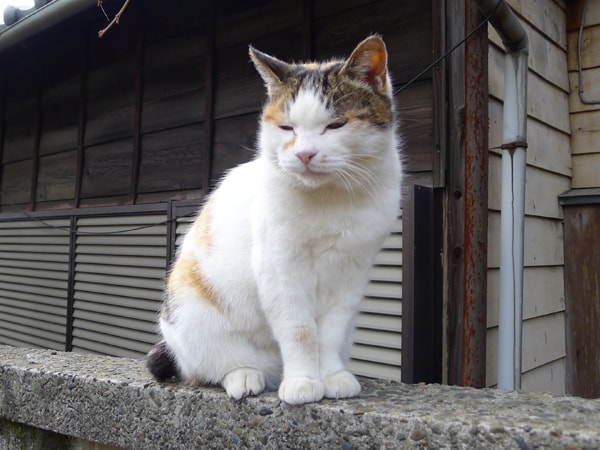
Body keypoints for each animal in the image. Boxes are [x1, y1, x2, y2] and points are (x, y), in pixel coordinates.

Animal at [146, 35, 404, 406]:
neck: (328, 199)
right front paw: (302, 382)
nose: (305, 154)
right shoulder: (280, 266)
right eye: (286, 127)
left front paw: (332, 377)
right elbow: (300, 331)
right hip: (192, 313)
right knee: (208, 368)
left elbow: (330, 332)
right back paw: (244, 376)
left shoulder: (351, 272)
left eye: (335, 125)